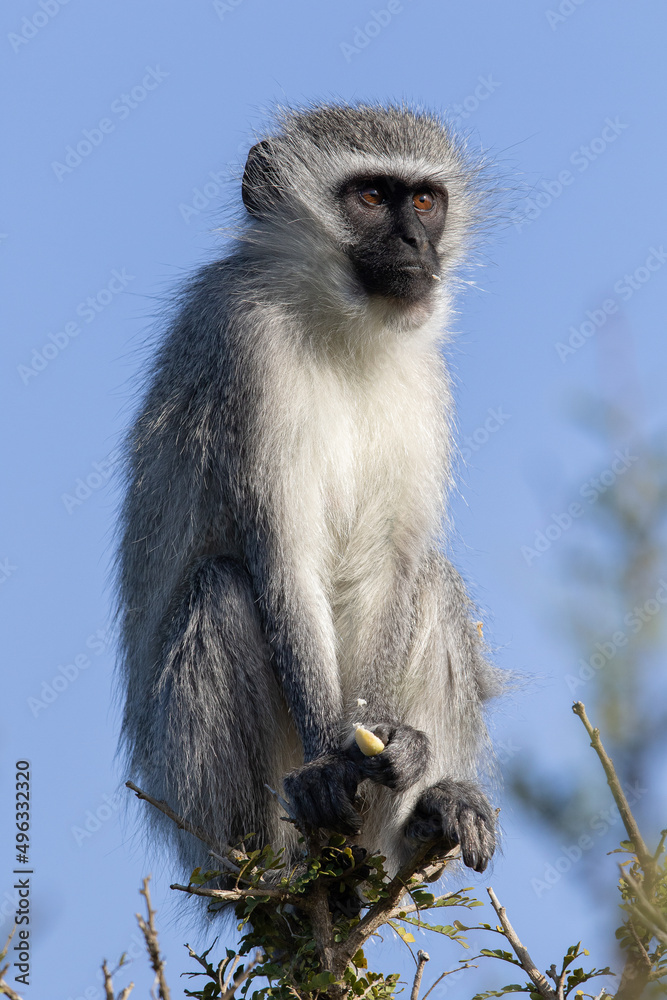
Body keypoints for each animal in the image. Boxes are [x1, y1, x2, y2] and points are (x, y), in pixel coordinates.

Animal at [115, 102, 503, 897]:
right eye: (369, 197)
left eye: (425, 201)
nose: (416, 244)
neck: (343, 324)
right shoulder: (247, 349)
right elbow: (283, 559)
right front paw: (332, 763)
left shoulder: (427, 377)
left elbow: (397, 564)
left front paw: (394, 747)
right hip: (196, 807)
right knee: (221, 591)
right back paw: (275, 868)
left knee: (433, 580)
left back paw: (429, 810)